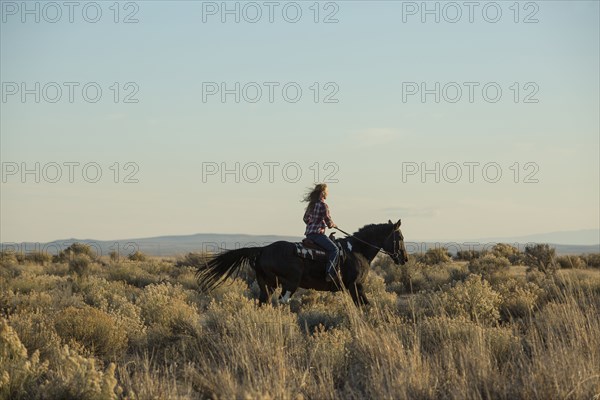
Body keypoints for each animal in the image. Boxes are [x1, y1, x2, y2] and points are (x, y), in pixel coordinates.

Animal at [197, 219, 408, 306]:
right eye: (400, 237)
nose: (404, 258)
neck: (356, 249)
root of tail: (263, 249)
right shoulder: (355, 286)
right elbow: (365, 306)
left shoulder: (355, 287)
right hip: (290, 283)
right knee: (281, 302)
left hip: (267, 284)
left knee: (263, 303)